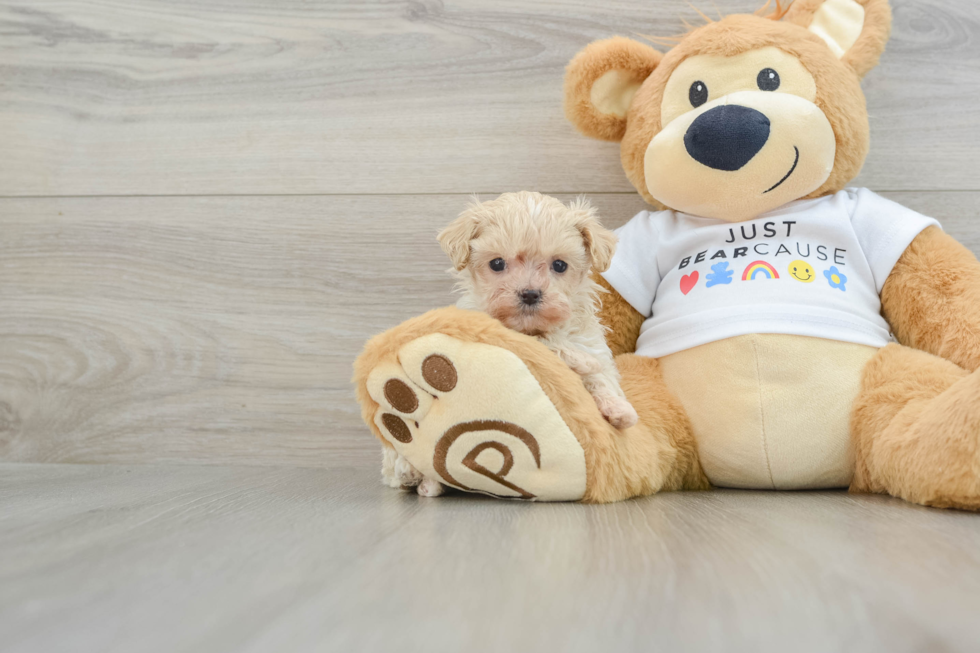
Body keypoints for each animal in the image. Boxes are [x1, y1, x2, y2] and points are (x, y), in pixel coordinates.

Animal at [378, 191, 640, 496]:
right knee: (397, 462)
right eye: (497, 264)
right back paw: (411, 472)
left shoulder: (591, 343)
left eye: (559, 265)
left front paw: (619, 409)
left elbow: (601, 377)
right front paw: (578, 360)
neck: (531, 327)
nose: (530, 293)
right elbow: (547, 347)